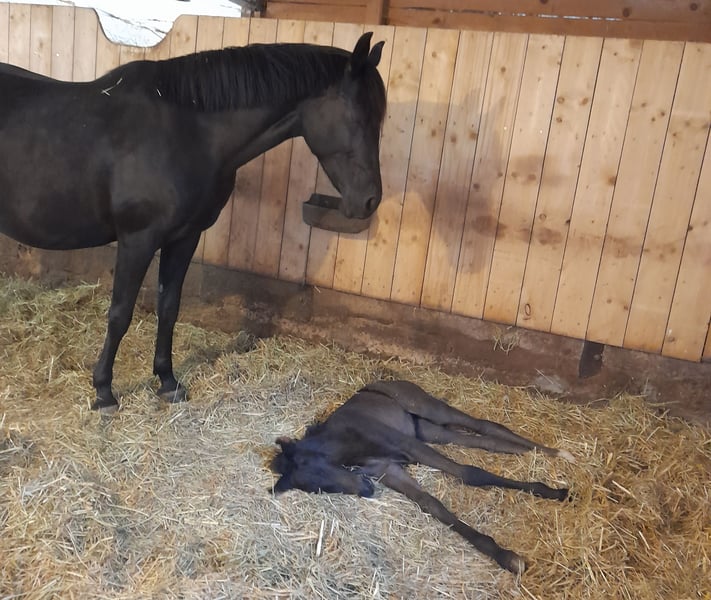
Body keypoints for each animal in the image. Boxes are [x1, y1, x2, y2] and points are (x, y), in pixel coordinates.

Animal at [0, 33, 386, 414]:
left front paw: (167, 381)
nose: (370, 201)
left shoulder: (185, 237)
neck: (189, 132)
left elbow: (169, 307)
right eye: (357, 119)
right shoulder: (137, 240)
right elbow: (120, 313)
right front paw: (104, 391)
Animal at [271, 380, 574, 574]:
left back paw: (557, 453)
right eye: (319, 489)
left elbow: (469, 473)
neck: (345, 444)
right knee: (488, 441)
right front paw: (506, 557)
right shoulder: (390, 471)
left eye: (322, 472)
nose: (366, 490)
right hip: (429, 430)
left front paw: (554, 492)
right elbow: (433, 506)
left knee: (485, 426)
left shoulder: (408, 446)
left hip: (429, 411)